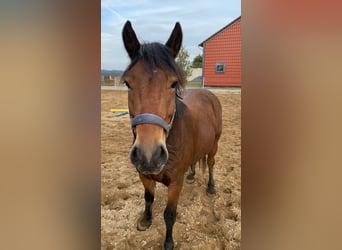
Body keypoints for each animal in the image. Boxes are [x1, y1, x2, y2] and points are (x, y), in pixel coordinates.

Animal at [121, 20, 223, 249]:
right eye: (128, 83)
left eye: (173, 83)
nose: (148, 156)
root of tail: (208, 94)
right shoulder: (144, 175)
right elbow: (148, 198)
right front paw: (145, 220)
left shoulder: (176, 183)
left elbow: (169, 215)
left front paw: (168, 243)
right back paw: (192, 174)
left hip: (214, 145)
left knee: (211, 163)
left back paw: (211, 187)